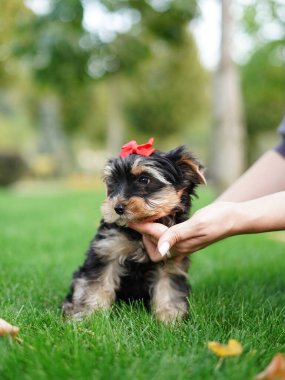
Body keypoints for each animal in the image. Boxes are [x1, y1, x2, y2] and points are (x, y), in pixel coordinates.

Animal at [62, 138, 204, 322]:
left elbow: (168, 286)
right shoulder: (107, 248)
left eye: (144, 180)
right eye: (114, 182)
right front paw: (89, 316)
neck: (137, 233)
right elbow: (96, 284)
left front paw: (170, 319)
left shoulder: (171, 259)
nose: (117, 208)